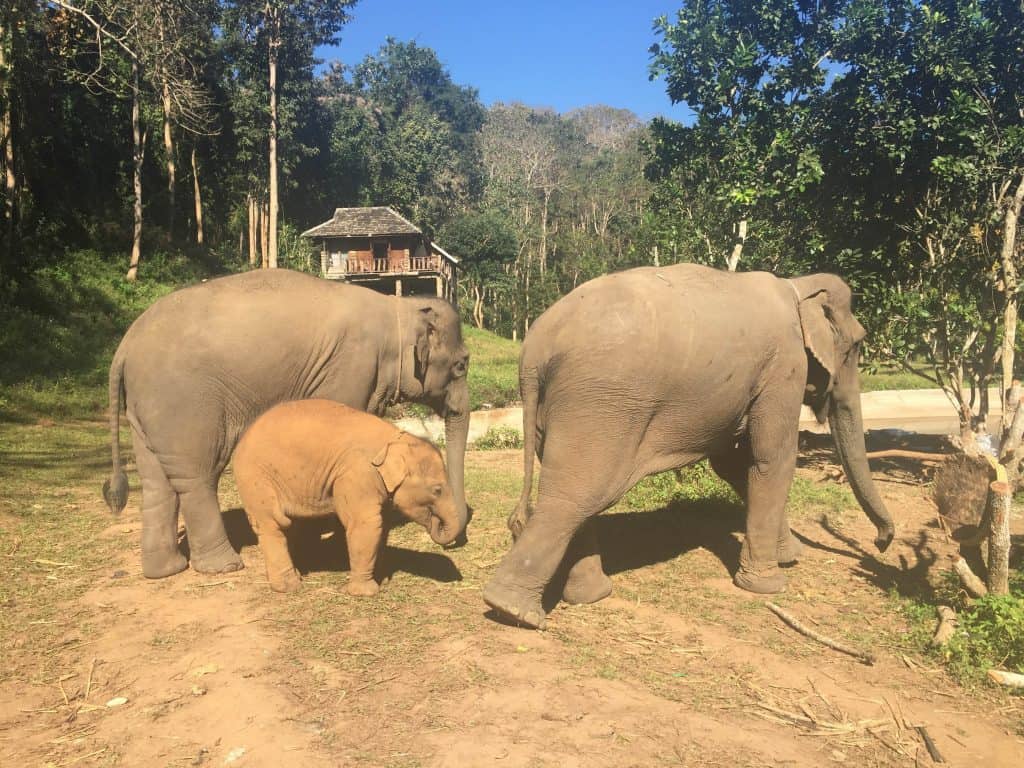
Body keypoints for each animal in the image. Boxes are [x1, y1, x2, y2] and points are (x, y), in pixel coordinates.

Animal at [233, 399, 460, 595]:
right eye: (437, 490)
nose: (437, 524)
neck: (395, 439)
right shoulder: (358, 473)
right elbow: (366, 523)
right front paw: (365, 592)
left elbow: (383, 523)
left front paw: (382, 577)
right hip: (255, 479)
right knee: (273, 523)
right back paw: (290, 586)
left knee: (289, 525)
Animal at [482, 264, 895, 629]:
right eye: (858, 343)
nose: (882, 542)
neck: (797, 286)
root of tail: (533, 352)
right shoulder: (783, 367)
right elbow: (771, 458)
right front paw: (770, 584)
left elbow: (733, 466)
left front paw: (790, 556)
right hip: (599, 403)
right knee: (576, 496)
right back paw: (513, 611)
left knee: (580, 495)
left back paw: (589, 596)